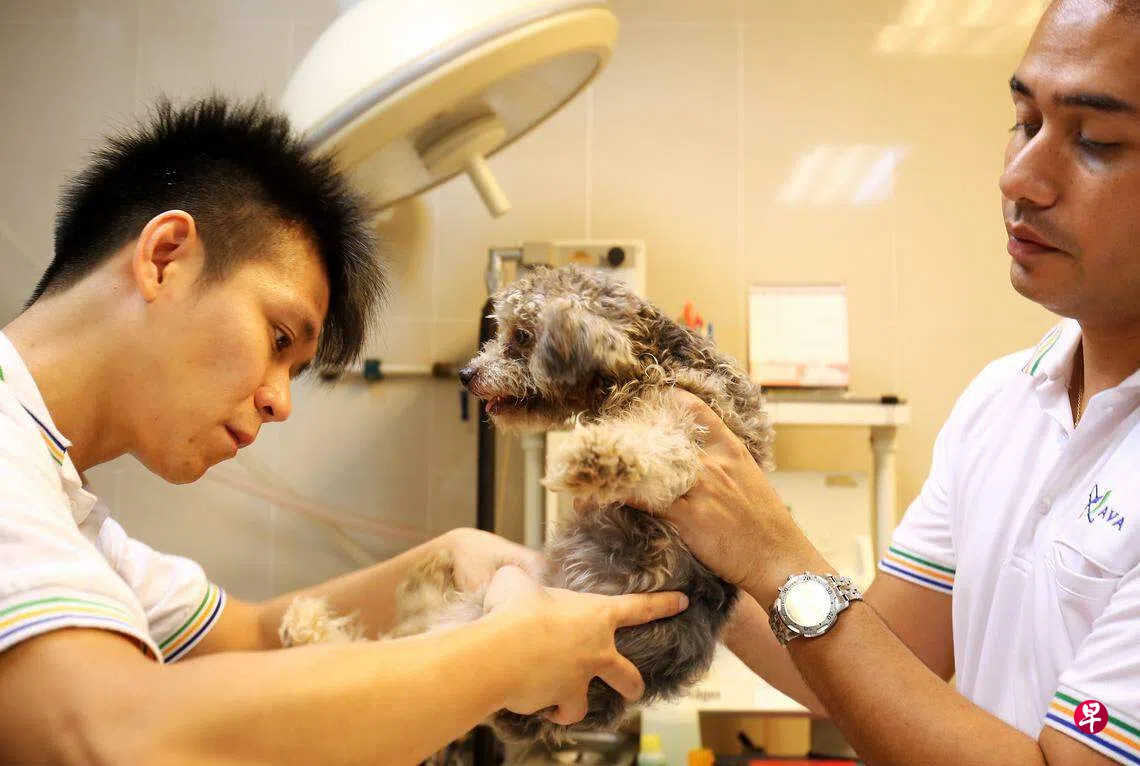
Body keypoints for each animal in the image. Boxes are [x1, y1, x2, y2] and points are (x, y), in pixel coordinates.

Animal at [278, 264, 774, 744]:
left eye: (519, 336)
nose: (466, 374)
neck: (648, 363)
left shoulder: (693, 419)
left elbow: (658, 449)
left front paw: (596, 455)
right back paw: (319, 618)